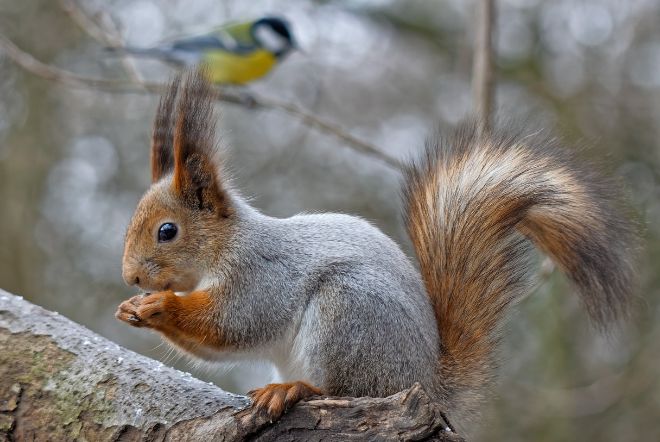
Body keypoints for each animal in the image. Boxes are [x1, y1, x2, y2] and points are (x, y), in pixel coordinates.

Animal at [116, 70, 636, 424]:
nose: (131, 277)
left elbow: (231, 324)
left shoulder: (260, 275)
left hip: (347, 316)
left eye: (167, 231)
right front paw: (132, 309)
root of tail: (425, 382)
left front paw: (160, 305)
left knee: (344, 388)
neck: (225, 245)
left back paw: (294, 389)